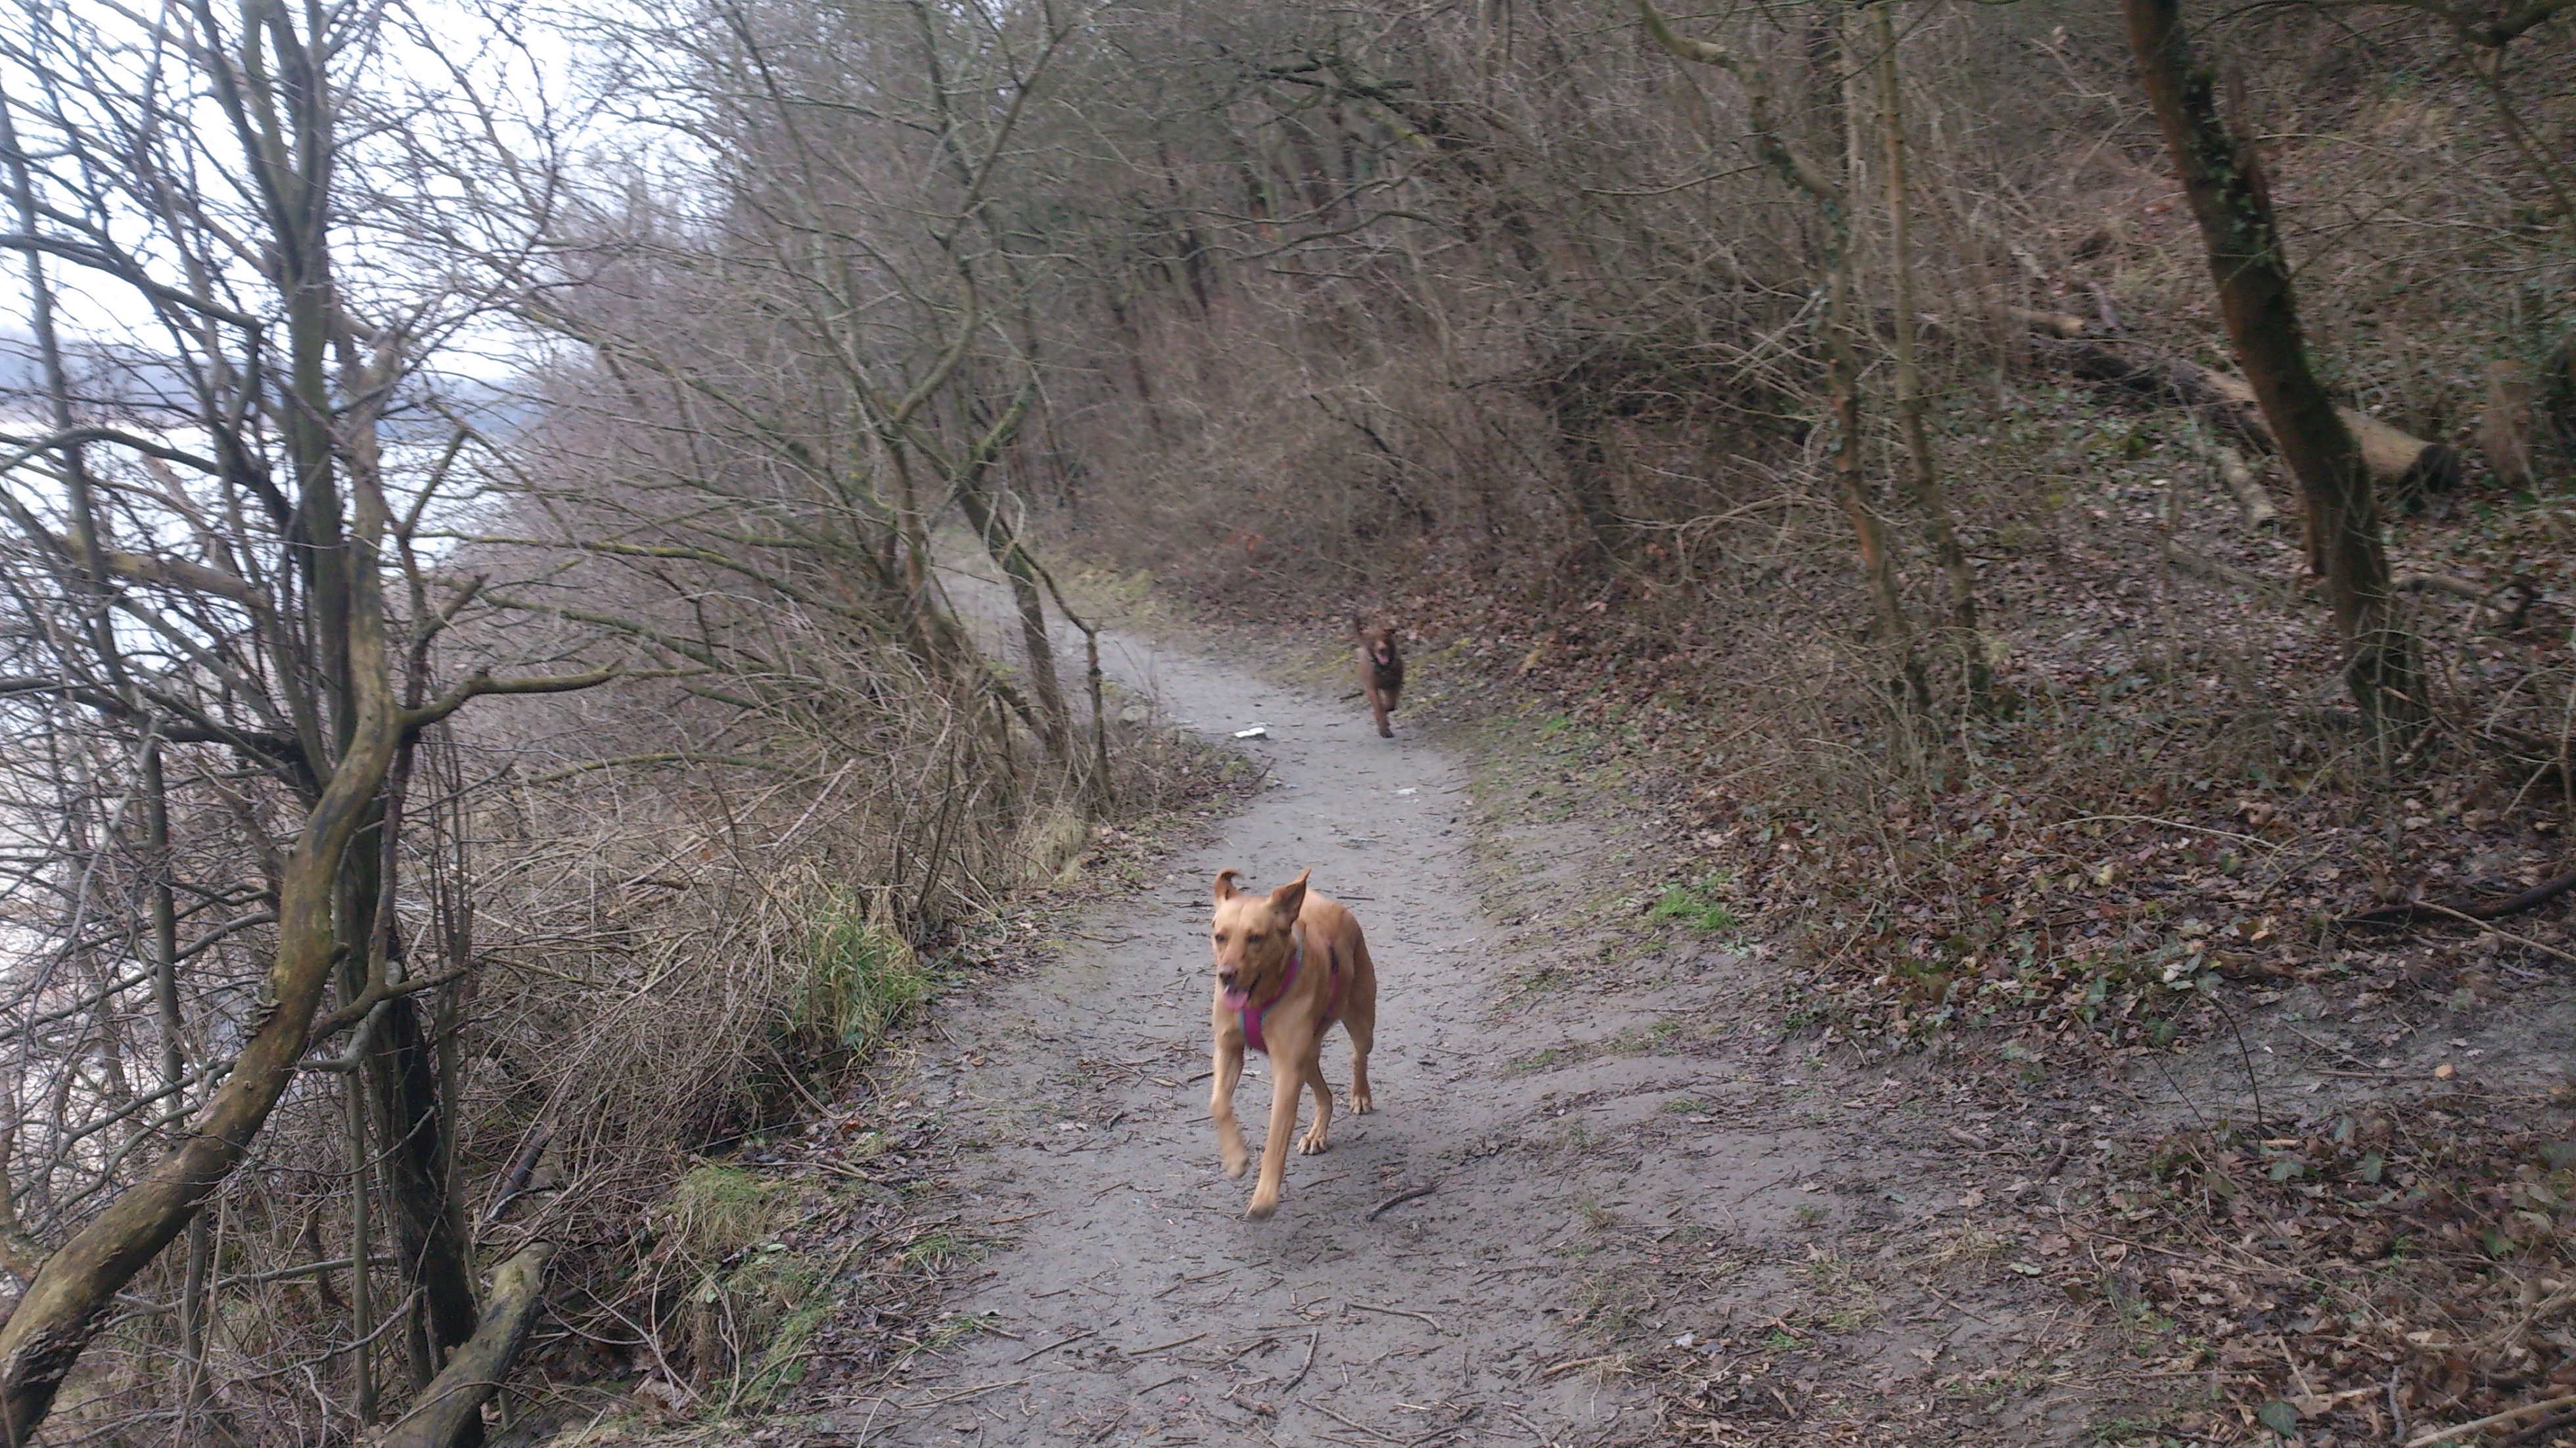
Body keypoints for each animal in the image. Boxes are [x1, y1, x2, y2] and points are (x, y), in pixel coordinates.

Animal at [1207, 867, 1377, 1220]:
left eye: (1255, 938)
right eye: (1220, 936)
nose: (1226, 975)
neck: (1259, 996)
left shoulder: (1287, 1070)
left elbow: (1275, 1138)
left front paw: (1265, 1197)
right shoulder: (1228, 1049)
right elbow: (1218, 1103)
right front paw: (1235, 1157)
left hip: (1360, 1020)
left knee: (1360, 1056)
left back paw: (1360, 1095)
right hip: (1308, 1055)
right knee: (1325, 1096)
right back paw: (1316, 1134)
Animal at [1353, 618, 1404, 738]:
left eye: (1384, 636)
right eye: (1373, 640)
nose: (1382, 649)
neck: (1383, 668)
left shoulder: (1395, 684)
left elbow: (1390, 705)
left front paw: (1386, 711)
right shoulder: (1371, 688)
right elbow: (1379, 708)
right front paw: (1384, 729)